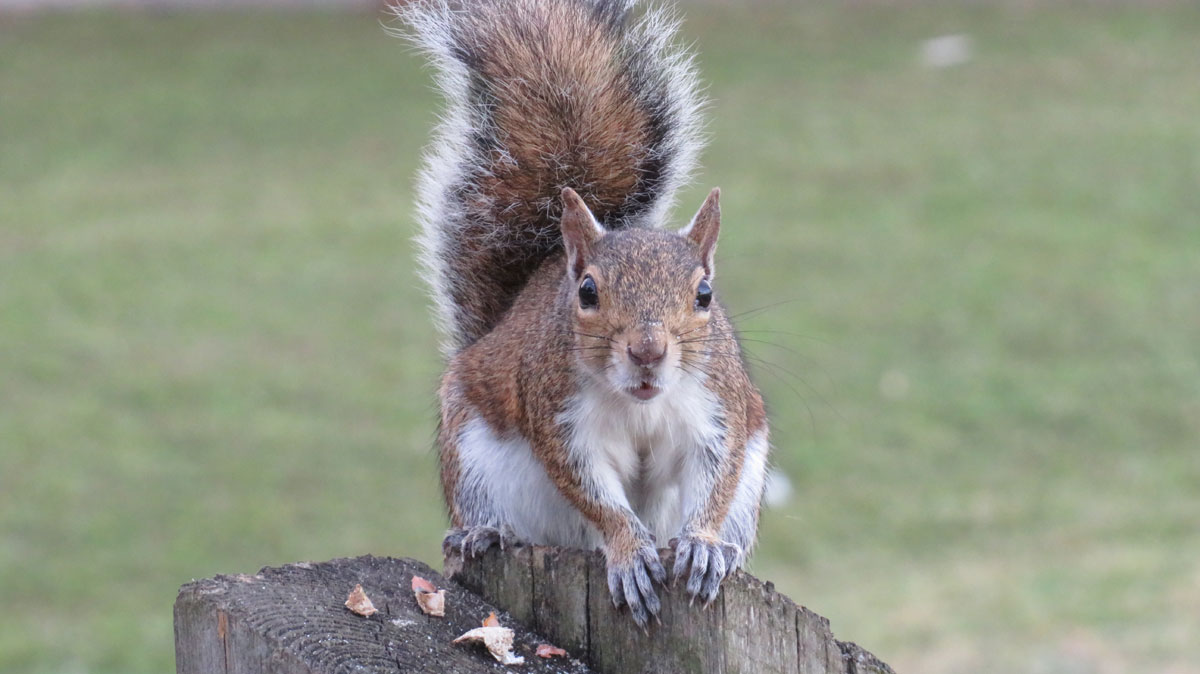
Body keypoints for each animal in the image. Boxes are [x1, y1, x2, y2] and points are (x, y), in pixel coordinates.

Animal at [393, 0, 768, 623]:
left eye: (705, 295)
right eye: (588, 293)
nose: (647, 351)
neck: (640, 404)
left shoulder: (720, 411)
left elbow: (716, 479)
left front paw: (704, 545)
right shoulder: (558, 416)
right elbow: (594, 495)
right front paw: (631, 553)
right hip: (470, 455)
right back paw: (483, 533)